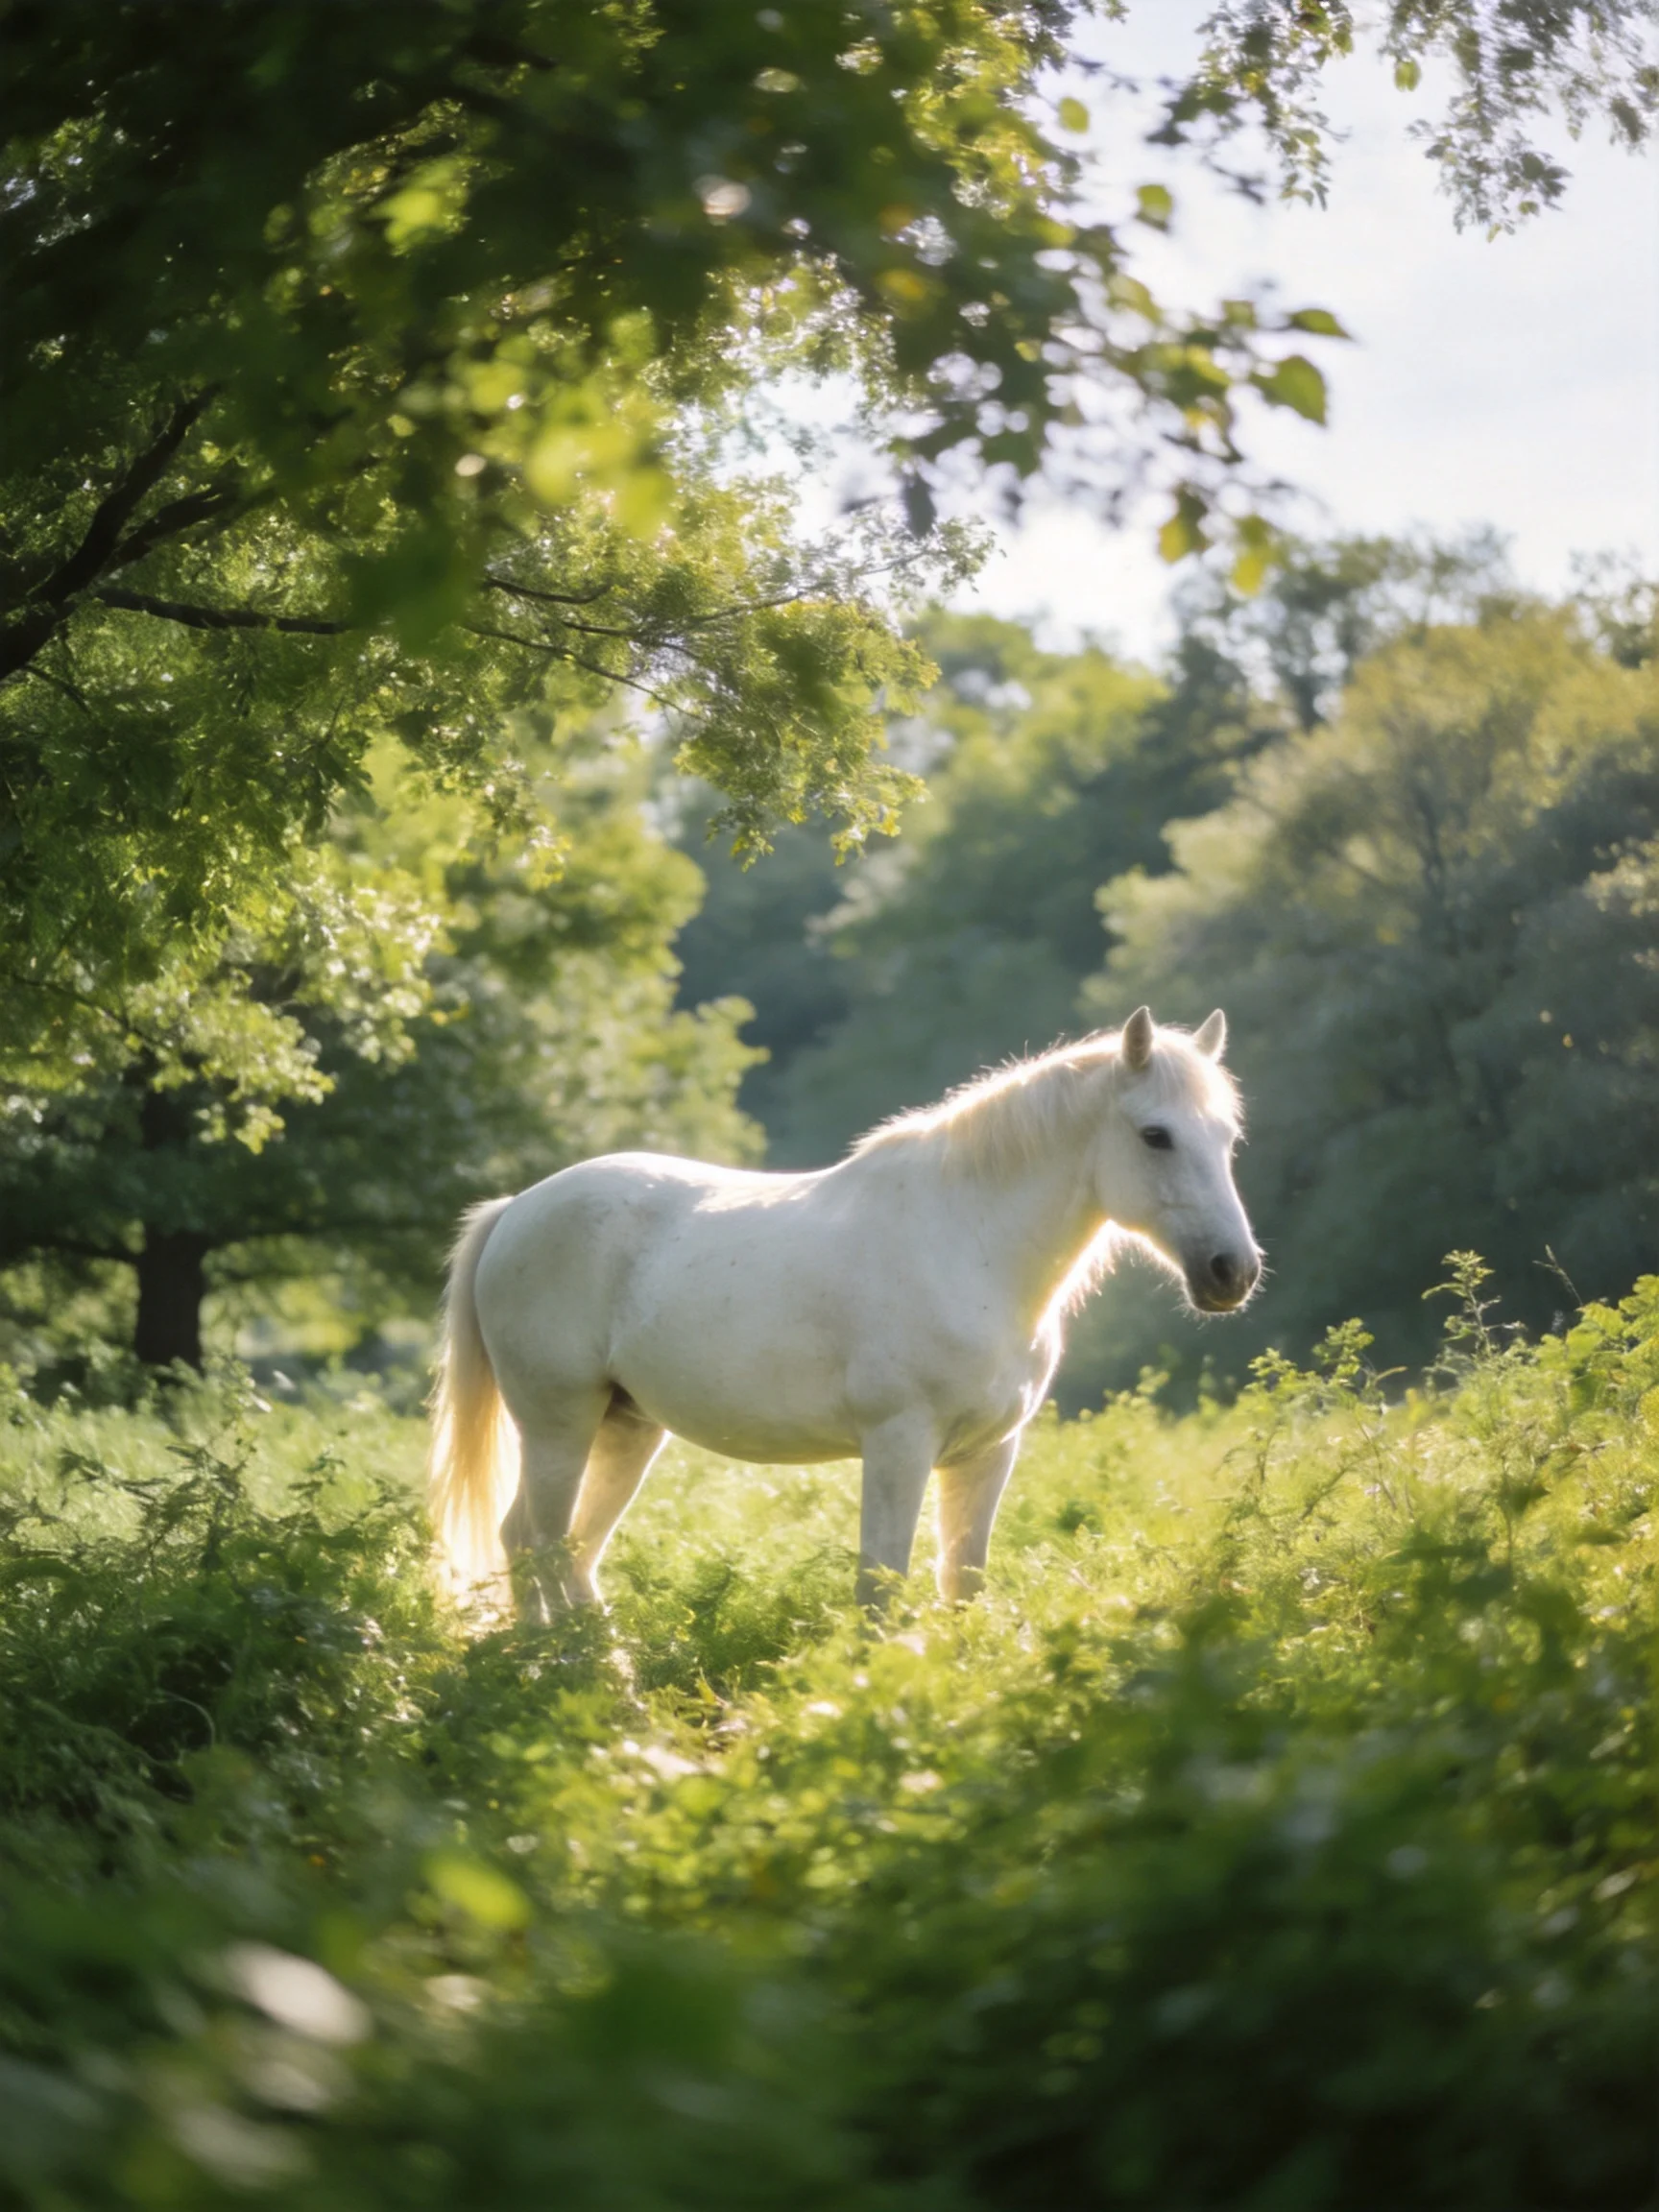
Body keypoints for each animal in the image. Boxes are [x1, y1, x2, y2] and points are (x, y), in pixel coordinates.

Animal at [428, 1005, 1260, 1616]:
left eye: (1228, 1137)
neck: (968, 1246)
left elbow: (964, 1587)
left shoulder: (990, 1453)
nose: (1234, 1272)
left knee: (560, 1548)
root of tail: (516, 1209)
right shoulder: (899, 1446)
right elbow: (879, 1591)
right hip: (558, 1424)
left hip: (627, 1428)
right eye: (1155, 1135)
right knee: (536, 1541)